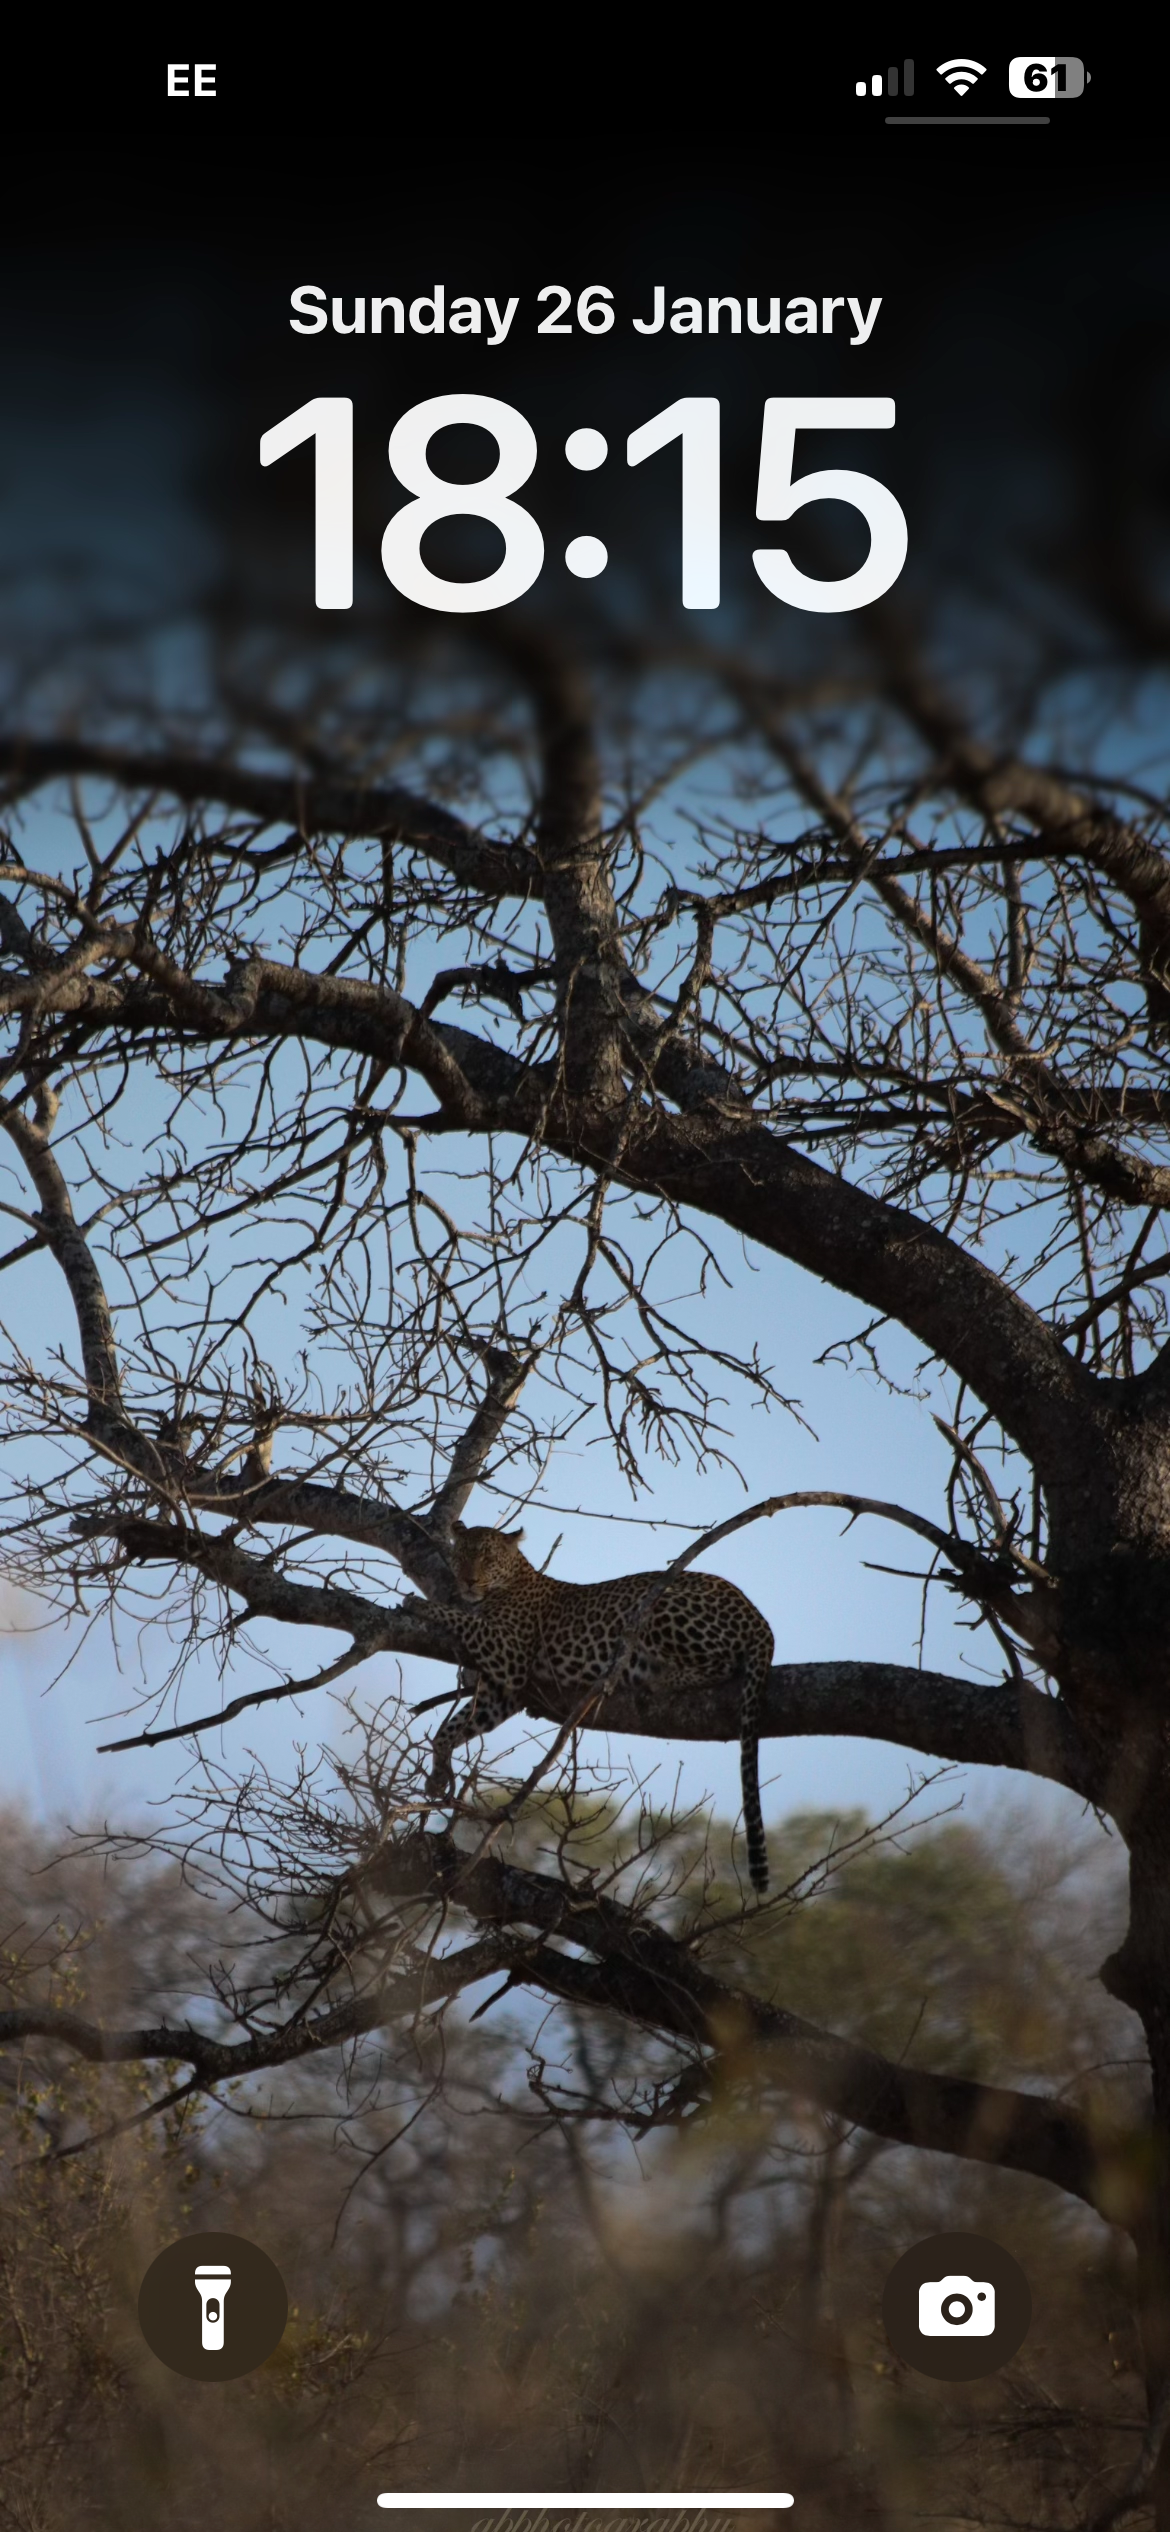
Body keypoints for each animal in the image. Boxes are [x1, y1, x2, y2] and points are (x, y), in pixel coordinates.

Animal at [425, 1524, 775, 1893]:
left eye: (487, 1559)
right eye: (462, 1556)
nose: (468, 1581)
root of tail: (758, 1617)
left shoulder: (511, 1656)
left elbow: (466, 1621)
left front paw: (419, 1606)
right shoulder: (502, 1693)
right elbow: (449, 1730)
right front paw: (436, 1778)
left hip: (659, 1605)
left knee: (724, 1664)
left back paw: (659, 1677)